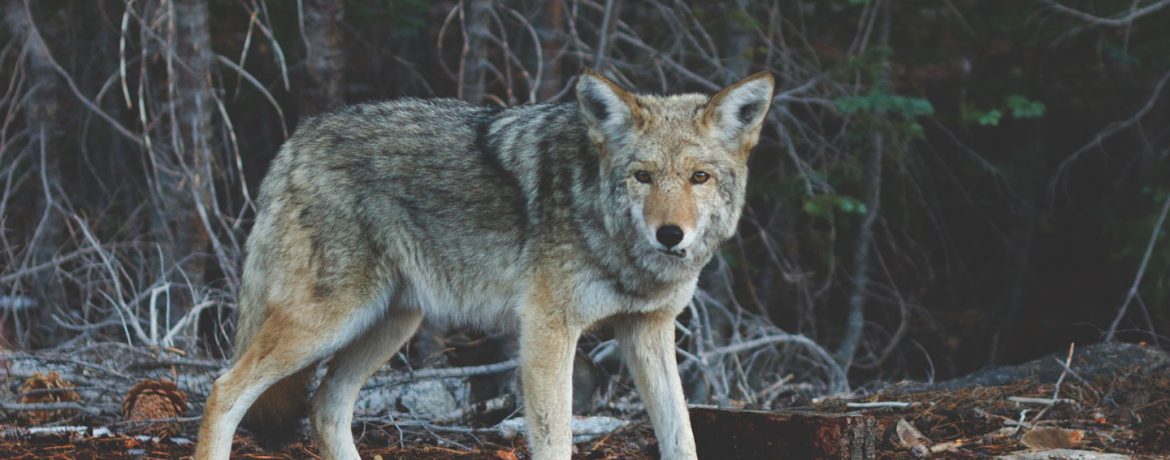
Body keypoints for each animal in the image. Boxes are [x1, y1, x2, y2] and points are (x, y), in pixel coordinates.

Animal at [194, 69, 774, 460]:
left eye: (699, 177)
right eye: (644, 176)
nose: (670, 235)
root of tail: (296, 141)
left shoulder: (647, 329)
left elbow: (682, 435)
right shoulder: (547, 331)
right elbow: (556, 439)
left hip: (391, 326)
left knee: (325, 408)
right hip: (327, 323)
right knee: (224, 390)